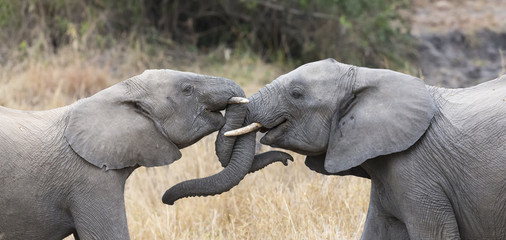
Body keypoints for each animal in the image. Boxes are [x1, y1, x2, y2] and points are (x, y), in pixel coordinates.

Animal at [226, 58, 506, 240]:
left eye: (296, 94)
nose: (286, 161)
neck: (366, 75)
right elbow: (377, 231)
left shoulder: (418, 172)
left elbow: (435, 233)